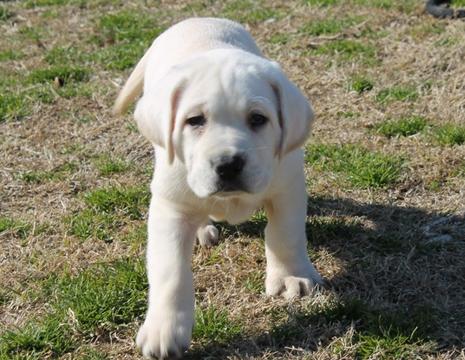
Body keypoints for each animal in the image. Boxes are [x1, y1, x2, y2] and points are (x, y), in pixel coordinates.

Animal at [113, 17, 322, 360]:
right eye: (195, 120)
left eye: (258, 119)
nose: (228, 165)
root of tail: (196, 20)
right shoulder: (170, 206)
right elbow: (170, 270)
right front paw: (164, 329)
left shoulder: (287, 186)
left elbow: (286, 234)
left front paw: (291, 276)